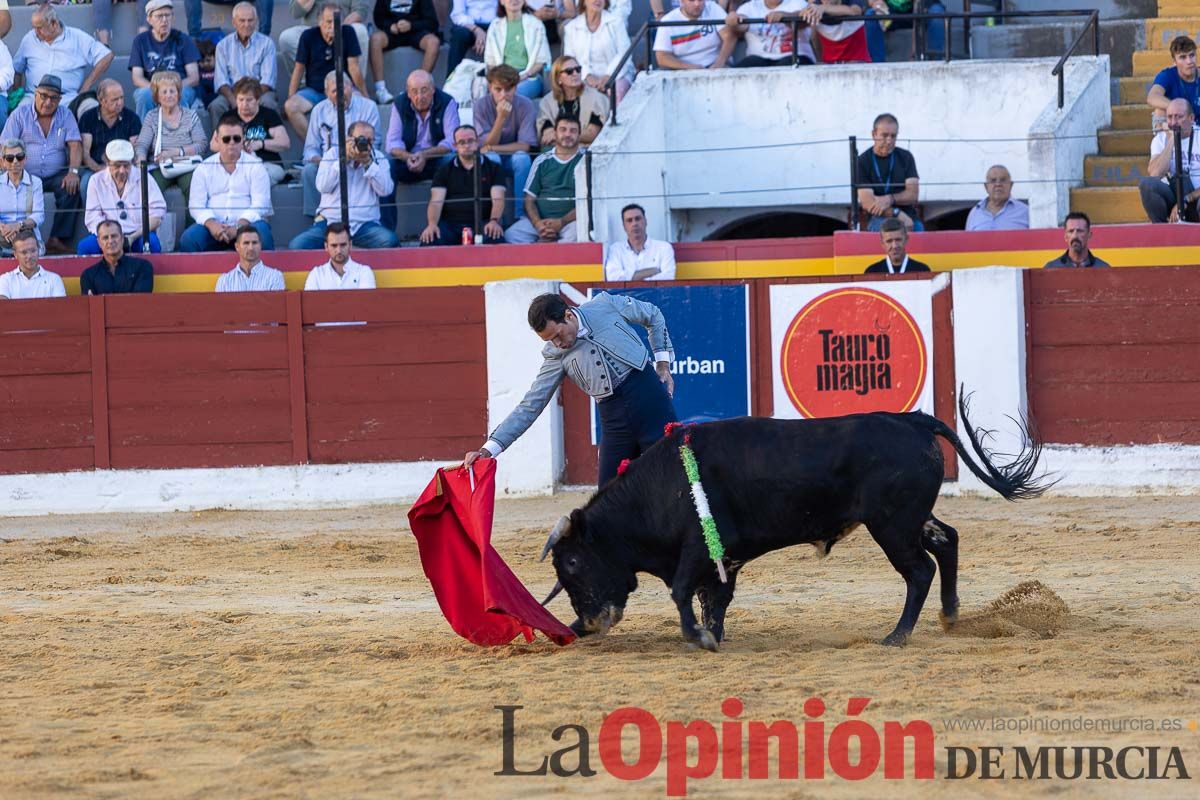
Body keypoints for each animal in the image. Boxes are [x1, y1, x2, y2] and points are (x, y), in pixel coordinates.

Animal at [540, 400, 1046, 652]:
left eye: (573, 562)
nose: (584, 624)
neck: (661, 486)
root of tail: (910, 420)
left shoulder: (700, 548)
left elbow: (683, 591)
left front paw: (699, 638)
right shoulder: (723, 558)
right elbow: (712, 598)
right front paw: (713, 635)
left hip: (891, 525)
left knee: (920, 570)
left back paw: (896, 636)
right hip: (907, 519)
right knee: (947, 541)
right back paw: (950, 614)